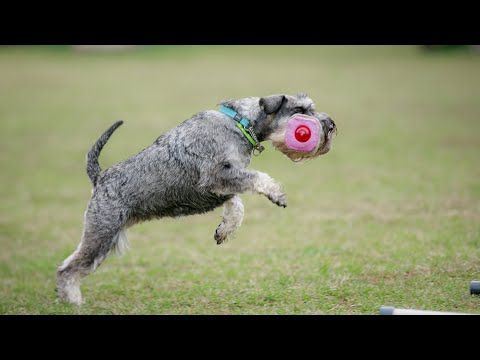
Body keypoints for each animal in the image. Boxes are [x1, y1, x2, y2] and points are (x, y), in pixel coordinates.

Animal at [56, 93, 336, 304]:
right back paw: (73, 302)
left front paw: (224, 230)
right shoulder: (216, 176)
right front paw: (276, 193)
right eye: (301, 110)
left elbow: (237, 205)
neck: (240, 122)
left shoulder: (221, 186)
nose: (331, 125)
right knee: (67, 269)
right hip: (101, 234)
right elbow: (258, 178)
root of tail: (100, 178)